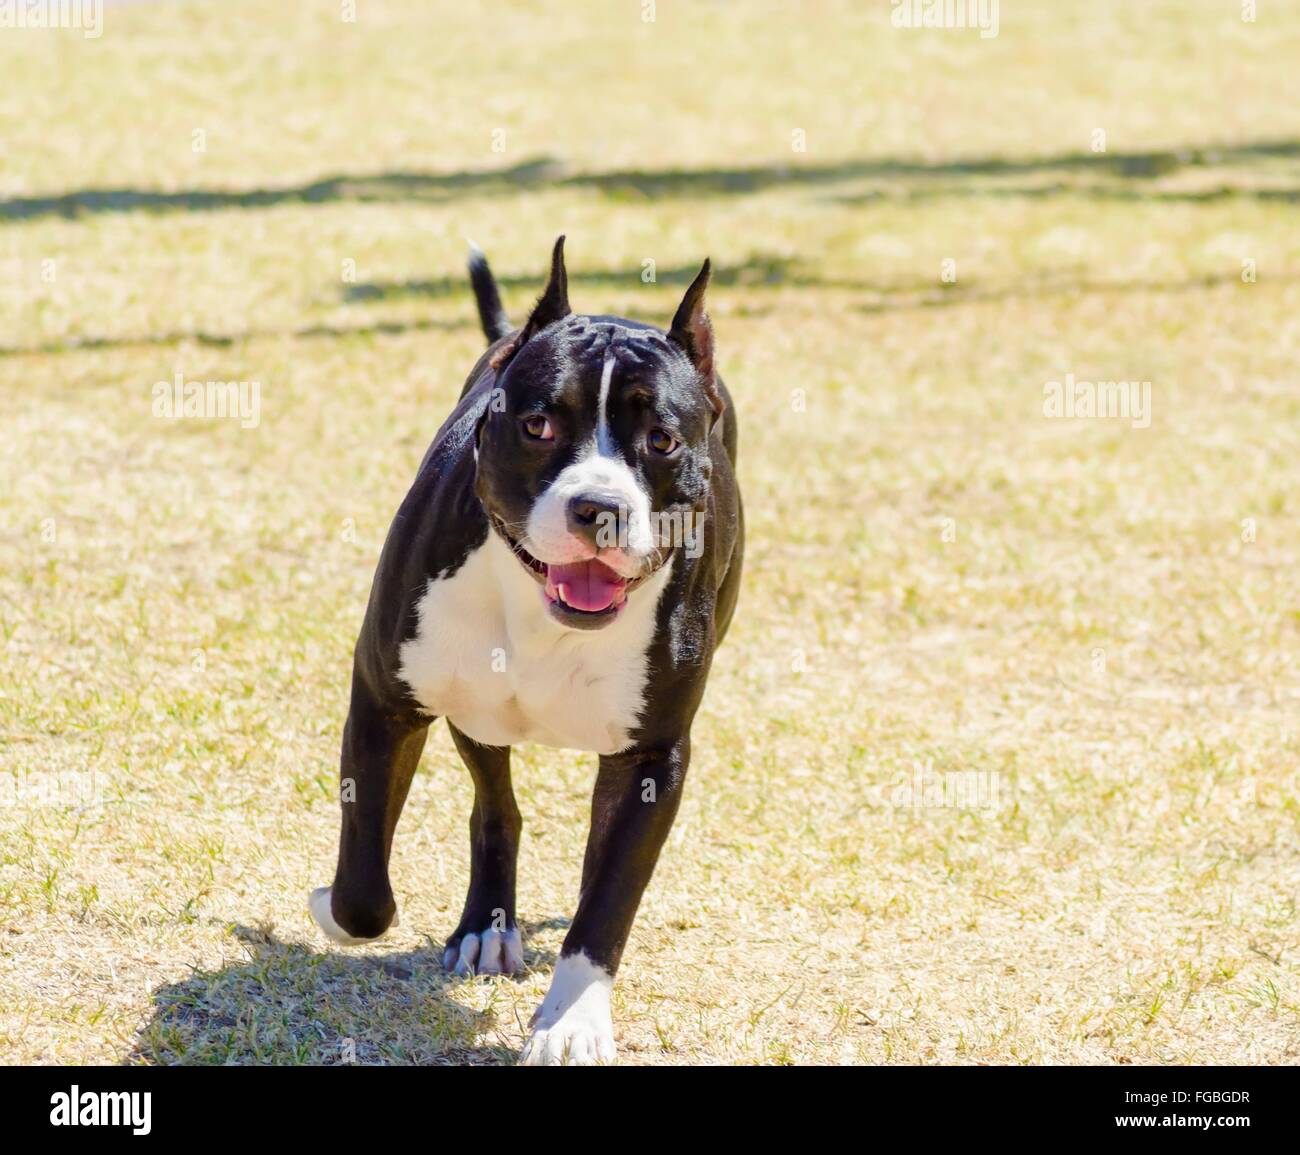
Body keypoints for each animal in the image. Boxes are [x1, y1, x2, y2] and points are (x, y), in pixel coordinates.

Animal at [305, 234, 748, 1066]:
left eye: (662, 439)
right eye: (539, 425)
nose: (598, 507)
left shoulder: (652, 758)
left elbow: (607, 903)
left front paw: (572, 1020)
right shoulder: (385, 698)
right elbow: (364, 889)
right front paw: (332, 905)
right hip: (477, 717)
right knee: (495, 808)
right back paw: (487, 928)